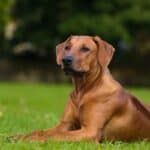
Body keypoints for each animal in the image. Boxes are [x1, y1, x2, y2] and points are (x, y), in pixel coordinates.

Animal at [10, 35, 150, 143]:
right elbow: (41, 131)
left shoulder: (90, 131)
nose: (66, 60)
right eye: (67, 47)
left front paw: (32, 139)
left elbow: (57, 135)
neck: (83, 90)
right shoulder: (65, 124)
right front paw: (20, 136)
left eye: (85, 49)